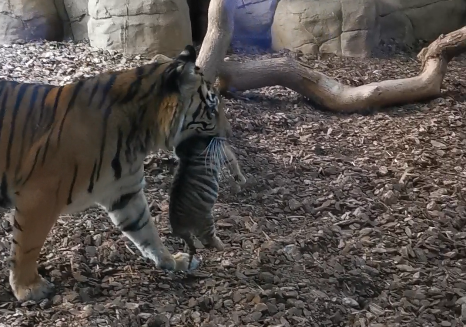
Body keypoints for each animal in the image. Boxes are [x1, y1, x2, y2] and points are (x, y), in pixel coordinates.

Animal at [0, 44, 231, 302]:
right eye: (212, 108)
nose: (229, 132)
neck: (139, 137)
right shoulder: (39, 195)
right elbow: (27, 244)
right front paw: (28, 287)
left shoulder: (124, 192)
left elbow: (145, 229)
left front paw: (171, 261)